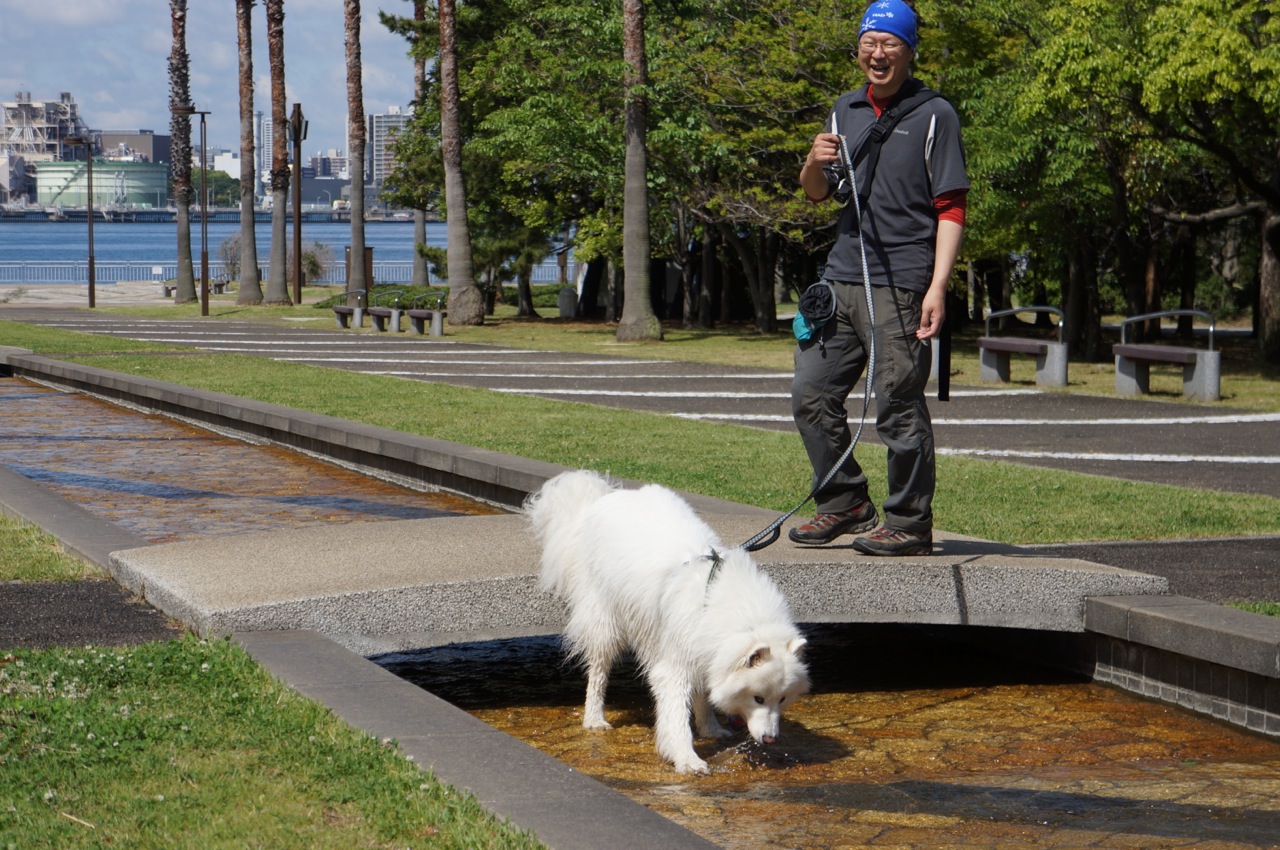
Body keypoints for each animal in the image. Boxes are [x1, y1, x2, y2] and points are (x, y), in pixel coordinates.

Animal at [522, 468, 808, 773]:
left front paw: (710, 730)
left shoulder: (705, 654)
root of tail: (601, 499)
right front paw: (687, 759)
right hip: (605, 623)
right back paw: (594, 719)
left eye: (782, 699)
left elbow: (703, 699)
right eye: (758, 698)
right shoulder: (675, 665)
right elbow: (676, 716)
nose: (770, 740)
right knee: (598, 673)